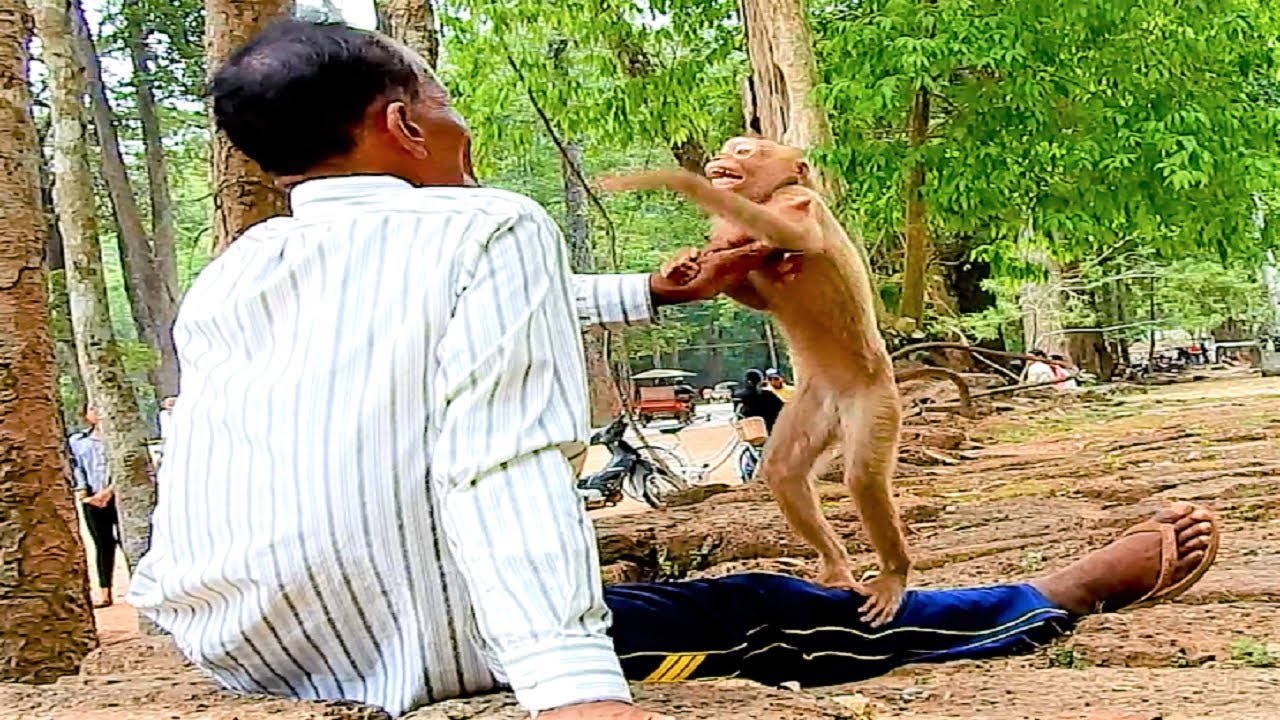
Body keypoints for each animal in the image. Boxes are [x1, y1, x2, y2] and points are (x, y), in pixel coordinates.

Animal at [600, 137, 910, 626]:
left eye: (744, 150)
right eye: (730, 149)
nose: (720, 158)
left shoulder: (794, 202)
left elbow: (793, 237)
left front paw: (679, 182)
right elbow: (739, 285)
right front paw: (678, 265)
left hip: (875, 398)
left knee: (863, 477)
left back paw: (893, 575)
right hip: (814, 402)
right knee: (782, 471)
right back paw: (836, 568)